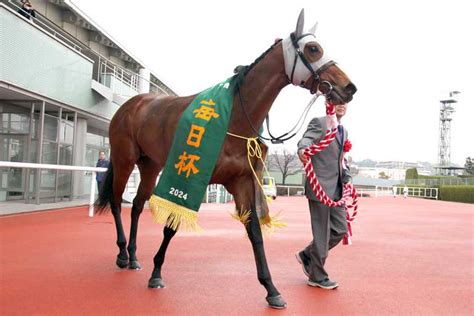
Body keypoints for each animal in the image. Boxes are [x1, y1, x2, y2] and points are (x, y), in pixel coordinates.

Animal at [96, 9, 356, 308]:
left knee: (137, 205)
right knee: (117, 202)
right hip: (124, 159)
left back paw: (134, 256)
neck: (233, 118)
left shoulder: (242, 181)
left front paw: (271, 289)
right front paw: (157, 272)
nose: (349, 87)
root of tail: (130, 105)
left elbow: (254, 232)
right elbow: (172, 226)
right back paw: (122, 254)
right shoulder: (191, 177)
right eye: (313, 49)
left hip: (150, 165)